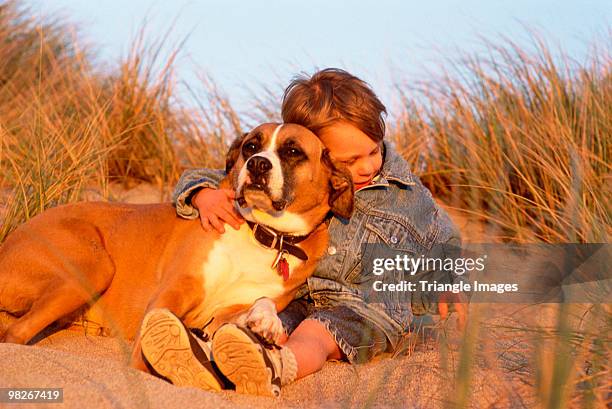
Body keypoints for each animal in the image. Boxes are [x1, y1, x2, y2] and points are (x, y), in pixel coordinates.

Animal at [0, 122, 354, 354]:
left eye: (293, 151)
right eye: (250, 147)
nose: (257, 164)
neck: (262, 234)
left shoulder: (222, 315)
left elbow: (258, 304)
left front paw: (266, 323)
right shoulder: (174, 291)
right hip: (91, 267)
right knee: (16, 334)